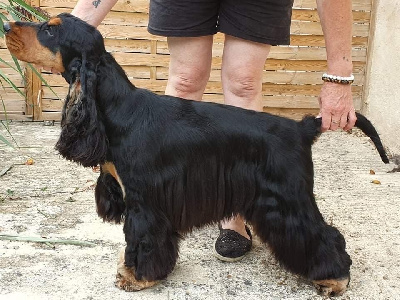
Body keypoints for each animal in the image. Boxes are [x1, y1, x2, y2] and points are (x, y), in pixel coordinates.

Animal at [3, 13, 390, 296]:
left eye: (50, 30)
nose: (7, 25)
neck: (116, 108)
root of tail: (302, 127)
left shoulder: (144, 201)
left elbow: (141, 238)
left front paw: (137, 277)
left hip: (287, 199)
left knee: (322, 235)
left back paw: (334, 279)